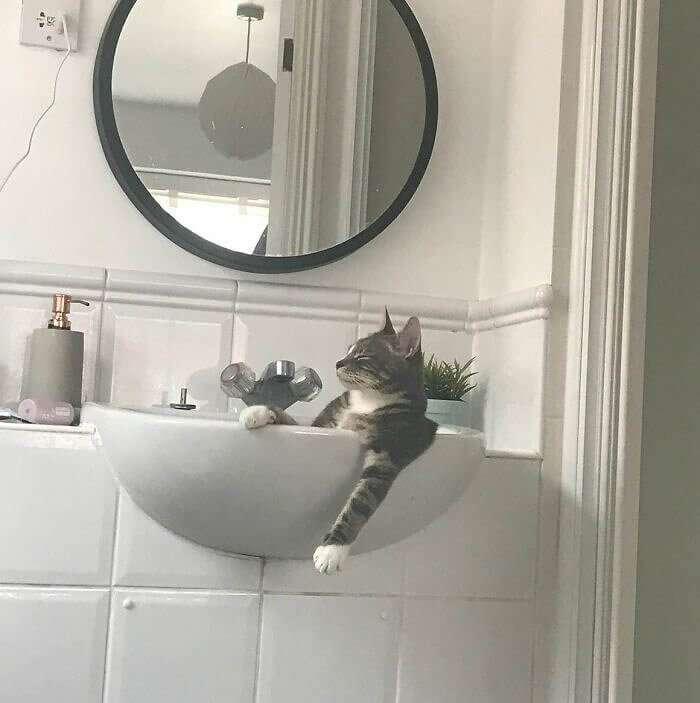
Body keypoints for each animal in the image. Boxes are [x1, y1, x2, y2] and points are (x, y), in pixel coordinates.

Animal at [241, 310, 438, 576]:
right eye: (348, 351)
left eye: (362, 355)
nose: (338, 362)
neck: (367, 402)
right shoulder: (322, 428)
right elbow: (291, 420)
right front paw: (257, 412)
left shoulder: (387, 457)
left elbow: (359, 504)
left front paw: (331, 551)